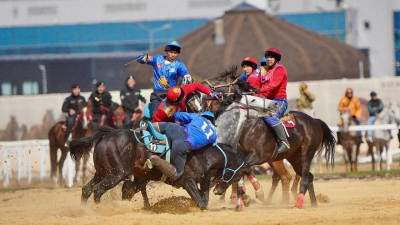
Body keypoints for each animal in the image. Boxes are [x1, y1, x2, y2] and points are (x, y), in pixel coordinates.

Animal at [69, 127, 250, 212]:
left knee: (87, 189)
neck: (205, 155)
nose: (219, 191)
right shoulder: (188, 181)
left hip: (102, 172)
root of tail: (105, 136)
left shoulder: (204, 182)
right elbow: (200, 202)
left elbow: (203, 200)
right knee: (98, 190)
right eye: (239, 174)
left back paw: (84, 210)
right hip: (116, 174)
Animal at [202, 67, 336, 209]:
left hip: (306, 155)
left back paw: (297, 203)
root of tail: (315, 121)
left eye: (218, 79)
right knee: (306, 177)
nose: (203, 85)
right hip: (294, 158)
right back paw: (313, 203)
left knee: (301, 178)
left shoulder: (256, 156)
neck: (248, 126)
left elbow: (240, 169)